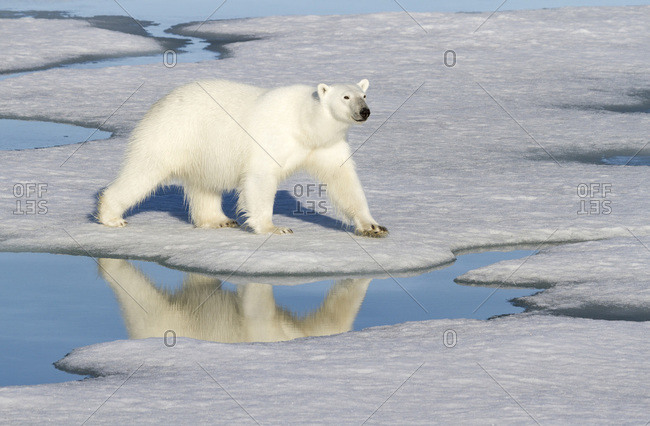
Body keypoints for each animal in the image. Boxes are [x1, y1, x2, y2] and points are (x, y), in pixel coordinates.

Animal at [97, 79, 384, 236]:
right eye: (345, 96)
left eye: (364, 94)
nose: (364, 111)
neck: (305, 124)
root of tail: (159, 104)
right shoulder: (273, 138)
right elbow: (261, 177)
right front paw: (275, 228)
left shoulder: (327, 145)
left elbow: (343, 179)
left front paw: (373, 227)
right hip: (173, 135)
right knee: (144, 172)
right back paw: (112, 216)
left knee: (204, 185)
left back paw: (219, 220)